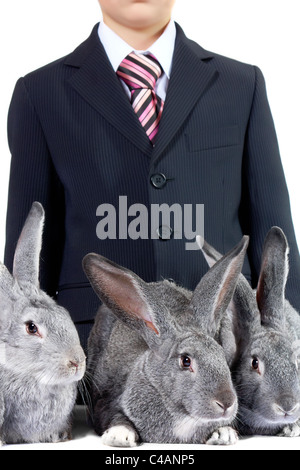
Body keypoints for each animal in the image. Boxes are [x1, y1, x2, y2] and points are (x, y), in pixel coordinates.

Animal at [82, 237, 248, 446]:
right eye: (186, 360)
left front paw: (224, 434)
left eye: (222, 356)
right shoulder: (107, 403)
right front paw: (119, 436)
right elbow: (118, 418)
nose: (226, 402)